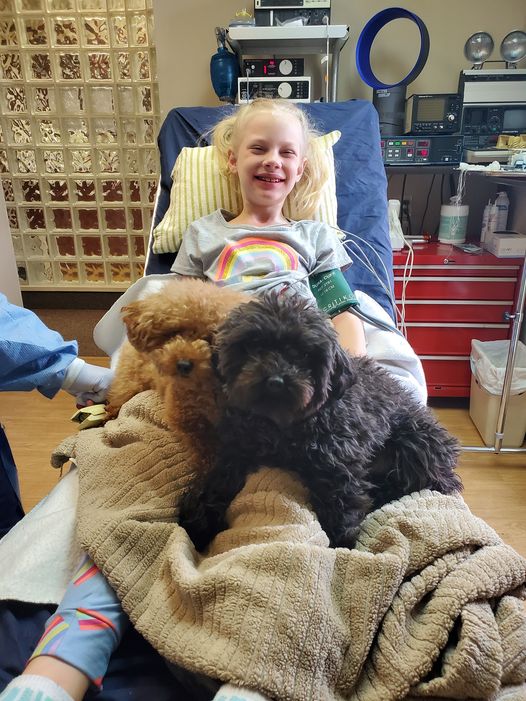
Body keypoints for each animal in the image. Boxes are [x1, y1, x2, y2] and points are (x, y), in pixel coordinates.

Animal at [179, 292, 464, 548]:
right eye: (252, 347)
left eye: (303, 354)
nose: (275, 381)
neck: (279, 427)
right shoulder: (236, 451)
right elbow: (216, 484)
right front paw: (198, 523)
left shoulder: (338, 462)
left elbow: (341, 504)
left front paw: (342, 548)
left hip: (415, 445)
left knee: (428, 482)